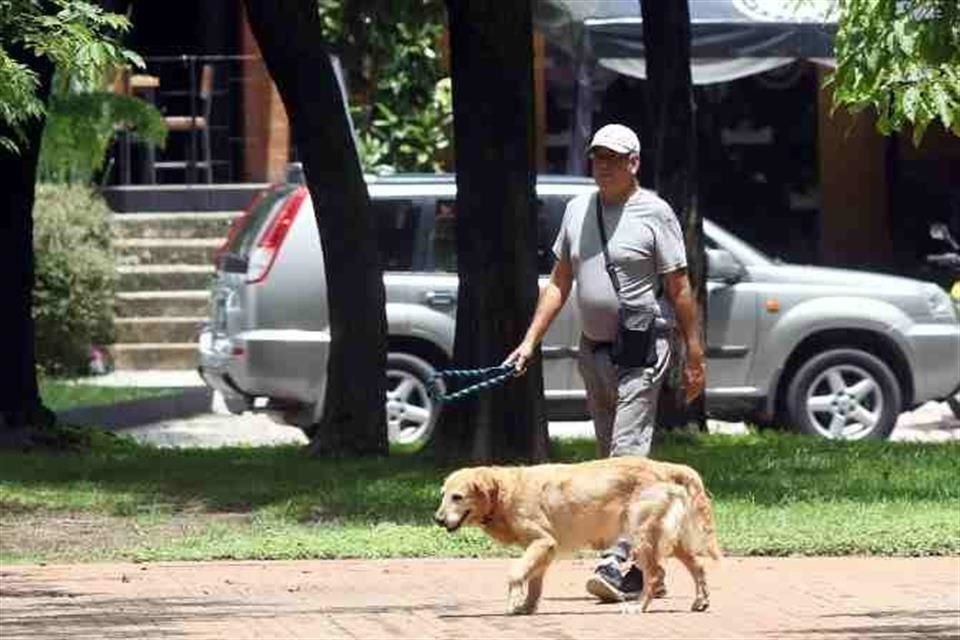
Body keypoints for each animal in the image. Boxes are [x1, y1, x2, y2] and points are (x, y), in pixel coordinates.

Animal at [436, 456, 720, 616]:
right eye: (443, 495)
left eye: (457, 497)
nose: (437, 519)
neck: (505, 492)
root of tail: (663, 466)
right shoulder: (544, 549)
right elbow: (534, 583)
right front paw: (527, 607)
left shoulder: (542, 541)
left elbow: (515, 573)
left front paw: (515, 598)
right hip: (669, 539)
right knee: (698, 566)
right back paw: (701, 601)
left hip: (641, 536)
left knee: (655, 575)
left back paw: (638, 607)